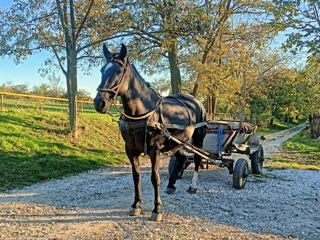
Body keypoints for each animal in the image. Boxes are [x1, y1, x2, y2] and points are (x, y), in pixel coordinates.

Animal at [94, 43, 206, 221]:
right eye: (102, 70)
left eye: (118, 71)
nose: (99, 102)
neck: (142, 113)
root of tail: (195, 100)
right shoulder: (130, 149)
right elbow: (136, 176)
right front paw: (136, 205)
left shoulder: (155, 150)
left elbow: (155, 178)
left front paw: (157, 209)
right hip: (177, 141)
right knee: (181, 158)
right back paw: (171, 185)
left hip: (198, 138)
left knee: (197, 159)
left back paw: (193, 186)